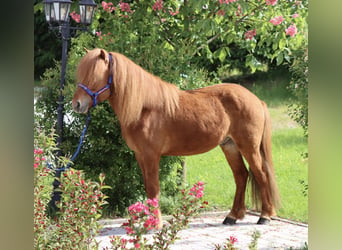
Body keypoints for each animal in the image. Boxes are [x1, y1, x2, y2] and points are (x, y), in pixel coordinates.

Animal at [72, 47, 280, 228]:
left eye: (94, 75)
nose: (76, 104)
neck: (143, 108)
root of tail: (256, 100)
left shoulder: (151, 155)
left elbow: (153, 188)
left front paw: (155, 223)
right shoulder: (140, 155)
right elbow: (147, 187)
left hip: (249, 147)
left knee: (261, 174)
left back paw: (265, 216)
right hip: (229, 146)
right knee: (241, 176)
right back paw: (232, 216)